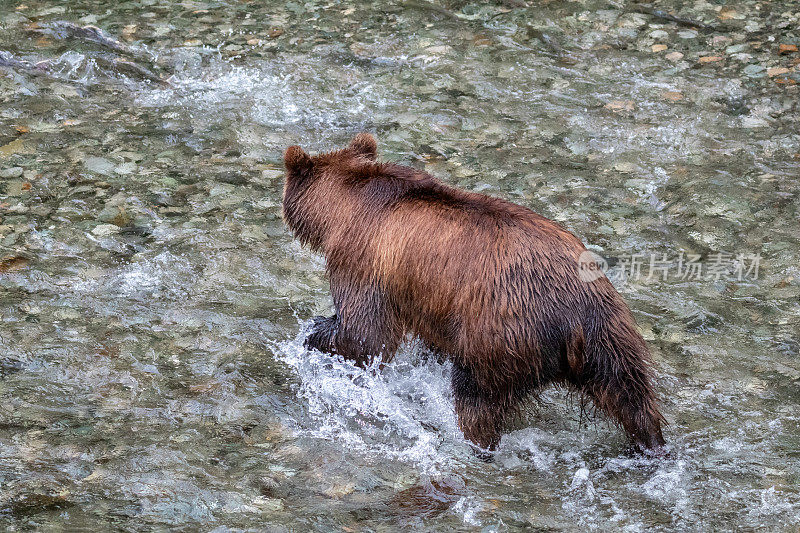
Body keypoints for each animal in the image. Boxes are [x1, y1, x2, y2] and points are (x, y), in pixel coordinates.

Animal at [284, 133, 664, 454]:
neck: (344, 206)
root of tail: (573, 318)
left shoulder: (364, 259)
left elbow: (364, 334)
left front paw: (314, 333)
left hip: (500, 335)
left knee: (477, 399)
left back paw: (475, 443)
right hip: (610, 330)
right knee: (632, 396)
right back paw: (651, 445)